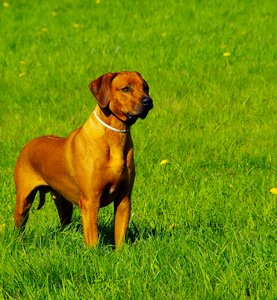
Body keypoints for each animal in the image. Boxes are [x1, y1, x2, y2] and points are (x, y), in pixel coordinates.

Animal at [13, 71, 153, 247]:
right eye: (126, 88)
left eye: (145, 87)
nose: (148, 101)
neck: (114, 136)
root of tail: (28, 144)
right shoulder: (90, 201)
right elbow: (93, 238)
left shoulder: (124, 198)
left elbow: (120, 235)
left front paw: (121, 252)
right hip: (23, 200)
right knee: (20, 225)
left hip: (63, 201)